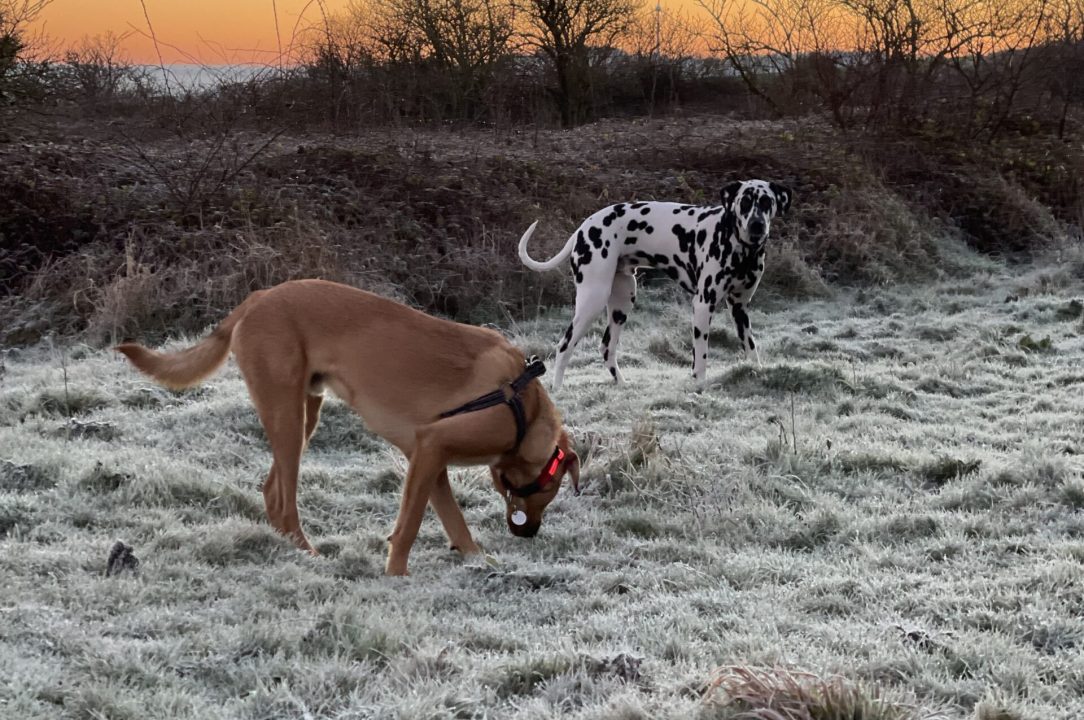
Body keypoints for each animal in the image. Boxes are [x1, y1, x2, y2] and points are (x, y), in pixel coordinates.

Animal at [114, 277, 581, 576]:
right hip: (287, 413)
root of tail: (257, 298)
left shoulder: (427, 459)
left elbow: (453, 520)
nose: (531, 534)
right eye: (549, 490)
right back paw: (308, 555)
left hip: (305, 411)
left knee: (270, 489)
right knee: (284, 498)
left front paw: (476, 559)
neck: (524, 405)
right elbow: (409, 525)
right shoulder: (432, 446)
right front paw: (396, 577)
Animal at [515, 183, 789, 390]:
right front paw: (699, 384)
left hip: (622, 303)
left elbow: (751, 347)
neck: (741, 248)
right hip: (592, 301)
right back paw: (557, 390)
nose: (756, 224)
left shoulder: (740, 307)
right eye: (745, 201)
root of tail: (583, 227)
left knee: (607, 347)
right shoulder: (703, 305)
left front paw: (757, 372)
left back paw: (622, 384)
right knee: (564, 347)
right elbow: (701, 356)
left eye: (767, 202)